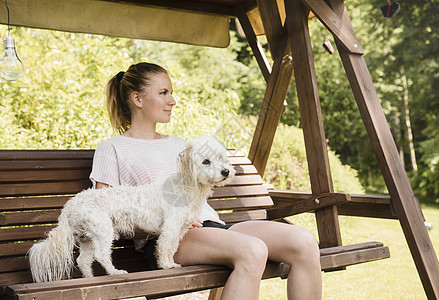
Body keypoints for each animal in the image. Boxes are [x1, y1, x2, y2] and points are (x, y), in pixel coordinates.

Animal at [27, 137, 235, 282]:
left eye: (220, 158)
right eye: (206, 161)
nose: (226, 171)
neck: (187, 185)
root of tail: (71, 203)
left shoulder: (180, 230)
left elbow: (171, 248)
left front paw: (169, 263)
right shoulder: (170, 228)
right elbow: (164, 247)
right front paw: (166, 265)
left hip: (88, 238)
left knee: (83, 261)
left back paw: (90, 278)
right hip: (104, 230)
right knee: (102, 255)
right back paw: (114, 272)